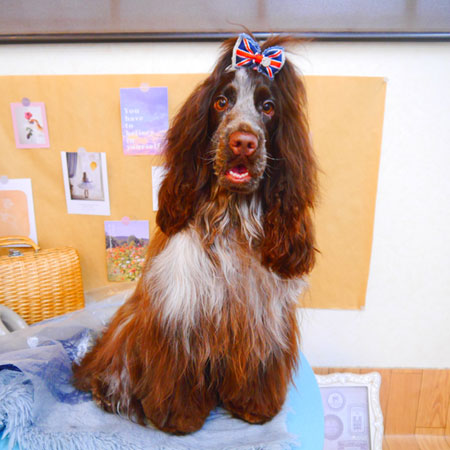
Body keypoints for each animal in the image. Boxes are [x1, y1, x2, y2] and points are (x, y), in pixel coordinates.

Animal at [72, 33, 317, 435]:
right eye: (222, 102)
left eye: (267, 107)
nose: (243, 142)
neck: (231, 219)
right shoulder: (180, 308)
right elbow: (177, 370)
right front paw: (178, 417)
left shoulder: (263, 317)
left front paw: (255, 406)